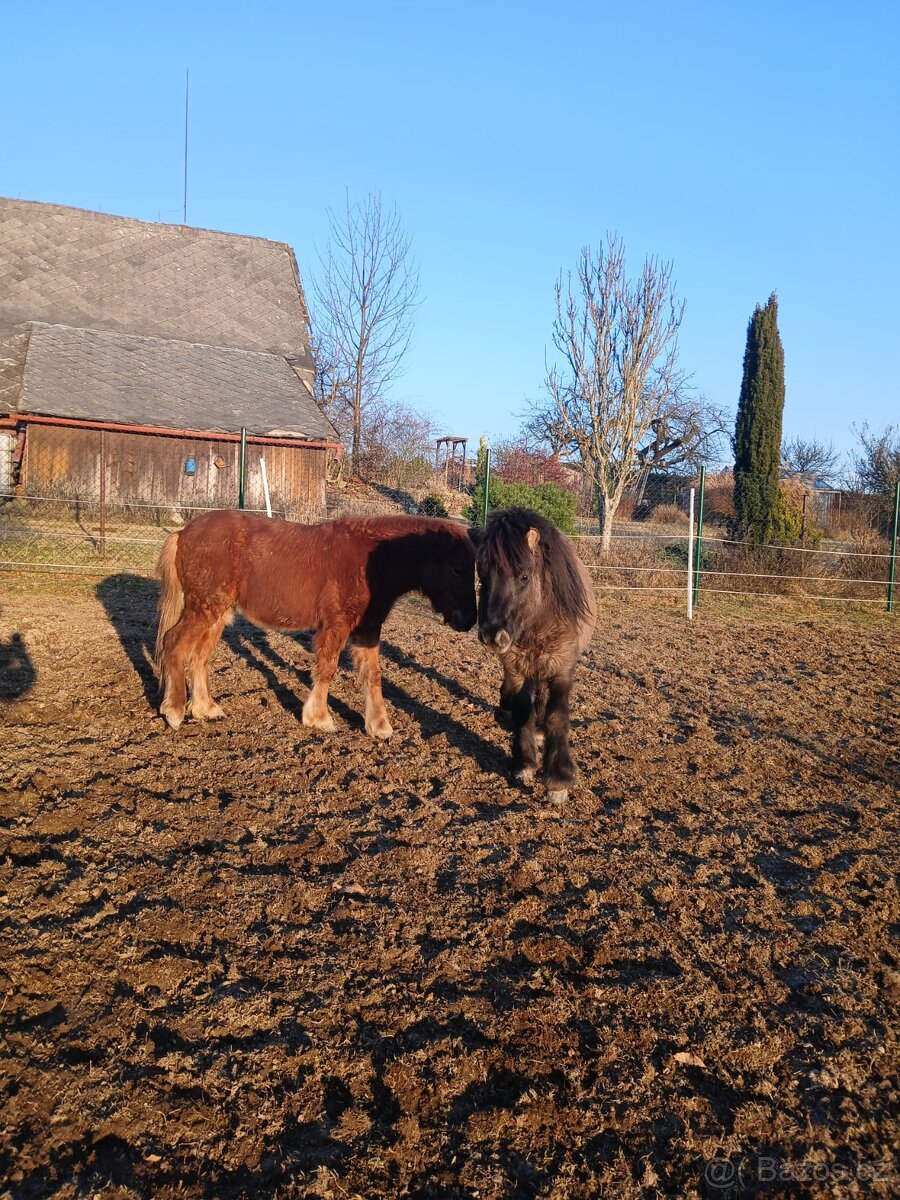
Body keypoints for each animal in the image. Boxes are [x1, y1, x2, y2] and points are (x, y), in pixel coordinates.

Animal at [154, 510, 477, 739]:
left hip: (218, 614)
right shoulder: (336, 625)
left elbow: (372, 676)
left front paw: (379, 727)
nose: (469, 620)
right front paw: (319, 718)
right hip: (205, 608)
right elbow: (327, 669)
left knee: (199, 657)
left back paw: (206, 709)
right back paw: (174, 710)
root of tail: (183, 533)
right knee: (173, 643)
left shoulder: (367, 630)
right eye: (458, 569)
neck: (370, 562)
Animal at [474, 507, 596, 803]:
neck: (539, 621)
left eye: (524, 577)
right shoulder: (516, 668)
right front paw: (524, 764)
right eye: (482, 575)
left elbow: (556, 716)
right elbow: (522, 711)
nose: (492, 635)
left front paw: (558, 779)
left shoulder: (562, 670)